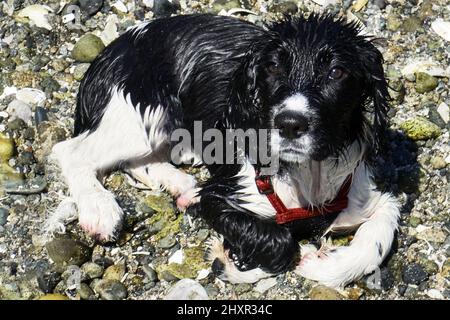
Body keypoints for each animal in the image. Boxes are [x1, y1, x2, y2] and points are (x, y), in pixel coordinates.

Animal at [51, 13, 400, 288]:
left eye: (336, 72)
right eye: (273, 67)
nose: (289, 124)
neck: (306, 175)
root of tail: (110, 51)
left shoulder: (366, 191)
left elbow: (380, 234)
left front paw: (327, 265)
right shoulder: (223, 194)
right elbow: (280, 241)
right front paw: (233, 262)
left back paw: (180, 185)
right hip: (141, 115)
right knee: (71, 151)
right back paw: (99, 208)